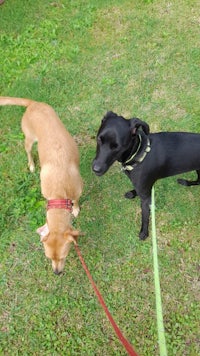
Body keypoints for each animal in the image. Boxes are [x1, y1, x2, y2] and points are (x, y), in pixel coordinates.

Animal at [0, 96, 83, 274]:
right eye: (48, 257)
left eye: (64, 257)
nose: (57, 273)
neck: (59, 193)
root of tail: (33, 103)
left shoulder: (78, 189)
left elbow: (76, 200)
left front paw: (75, 208)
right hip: (29, 139)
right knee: (28, 152)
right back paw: (31, 165)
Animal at [92, 111, 200, 239]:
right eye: (99, 139)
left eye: (117, 147)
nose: (96, 169)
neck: (139, 153)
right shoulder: (143, 187)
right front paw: (132, 193)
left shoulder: (146, 198)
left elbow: (145, 216)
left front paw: (144, 232)